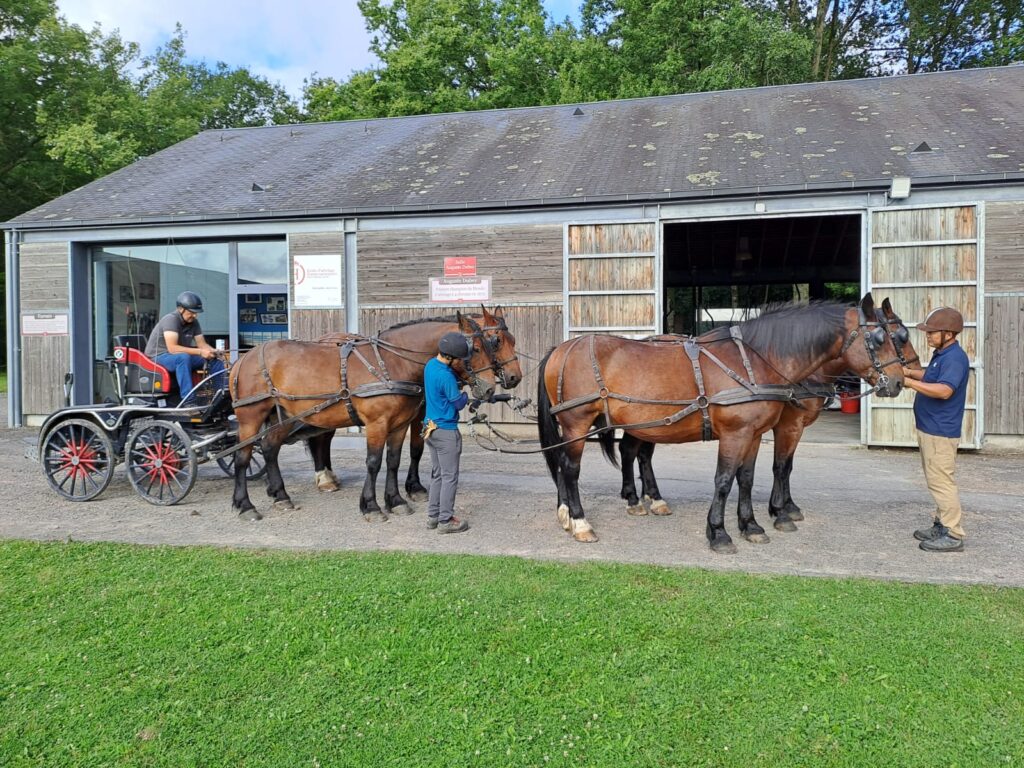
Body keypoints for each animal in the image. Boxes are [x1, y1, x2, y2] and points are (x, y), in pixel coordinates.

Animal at [232, 309, 520, 520]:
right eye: (483, 346)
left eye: (493, 343)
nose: (493, 387)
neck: (394, 362)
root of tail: (245, 357)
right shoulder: (377, 424)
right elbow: (374, 462)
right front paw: (371, 505)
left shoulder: (400, 423)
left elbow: (394, 460)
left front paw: (396, 499)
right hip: (250, 418)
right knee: (243, 457)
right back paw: (245, 505)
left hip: (281, 415)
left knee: (269, 448)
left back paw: (281, 495)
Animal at [536, 294, 905, 552]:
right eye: (879, 339)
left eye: (898, 337)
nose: (899, 383)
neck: (755, 360)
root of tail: (561, 348)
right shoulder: (737, 434)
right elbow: (725, 481)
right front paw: (719, 532)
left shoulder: (754, 434)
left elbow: (747, 479)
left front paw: (751, 525)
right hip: (577, 424)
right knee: (570, 468)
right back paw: (579, 521)